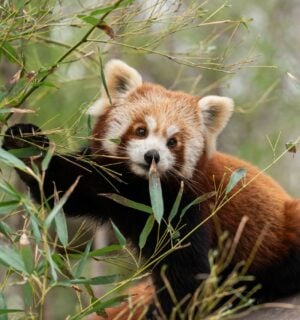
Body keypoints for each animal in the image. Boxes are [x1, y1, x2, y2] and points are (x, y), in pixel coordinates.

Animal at [3, 60, 300, 320]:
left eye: (173, 142)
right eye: (141, 130)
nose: (152, 156)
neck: (141, 189)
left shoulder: (187, 207)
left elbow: (185, 274)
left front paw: (165, 312)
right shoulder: (106, 182)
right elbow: (61, 185)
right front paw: (26, 143)